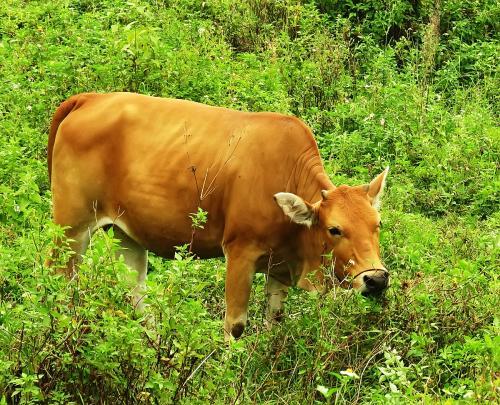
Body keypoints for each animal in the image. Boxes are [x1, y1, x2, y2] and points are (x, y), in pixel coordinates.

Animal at [47, 91, 390, 338]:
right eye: (334, 229)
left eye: (378, 224)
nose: (376, 279)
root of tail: (90, 98)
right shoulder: (240, 252)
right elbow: (235, 325)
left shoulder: (279, 266)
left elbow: (274, 321)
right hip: (71, 226)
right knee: (59, 280)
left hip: (126, 234)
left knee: (136, 294)